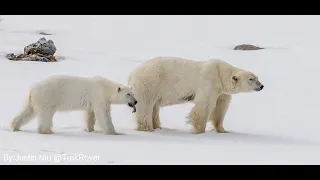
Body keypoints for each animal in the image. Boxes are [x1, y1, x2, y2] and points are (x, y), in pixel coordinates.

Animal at [9, 75, 138, 135]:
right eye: (128, 94)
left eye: (133, 93)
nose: (136, 102)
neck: (106, 88)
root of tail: (32, 89)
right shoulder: (99, 97)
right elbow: (103, 114)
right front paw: (114, 132)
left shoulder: (93, 102)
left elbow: (90, 115)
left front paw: (90, 129)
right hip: (47, 97)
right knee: (46, 114)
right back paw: (47, 131)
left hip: (34, 100)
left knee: (28, 111)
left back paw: (15, 126)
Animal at [128, 56, 264, 134]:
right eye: (251, 79)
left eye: (257, 77)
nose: (262, 86)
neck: (220, 74)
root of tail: (132, 73)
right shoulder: (208, 82)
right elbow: (204, 106)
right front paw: (199, 131)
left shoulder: (222, 92)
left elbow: (220, 108)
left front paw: (222, 130)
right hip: (149, 82)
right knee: (145, 105)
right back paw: (147, 128)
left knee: (154, 107)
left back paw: (158, 127)